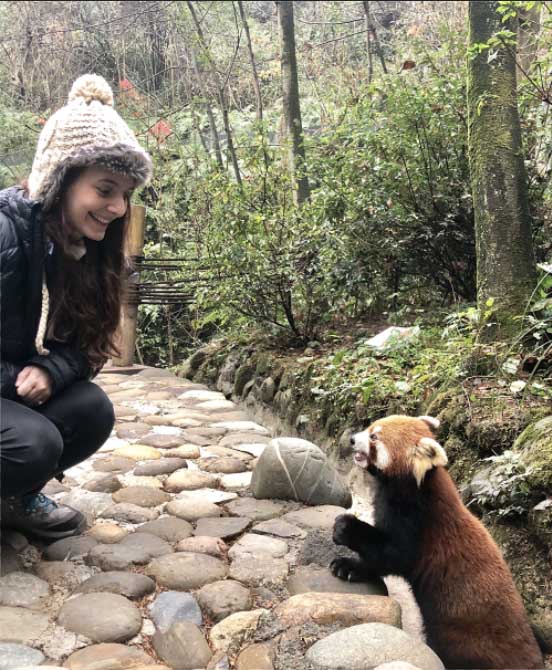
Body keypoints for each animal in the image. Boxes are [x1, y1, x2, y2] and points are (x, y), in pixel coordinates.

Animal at [332, 414, 544, 670]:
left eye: (374, 437)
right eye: (370, 427)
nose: (353, 439)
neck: (412, 487)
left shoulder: (416, 524)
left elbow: (392, 556)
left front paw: (346, 538)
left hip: (464, 640)